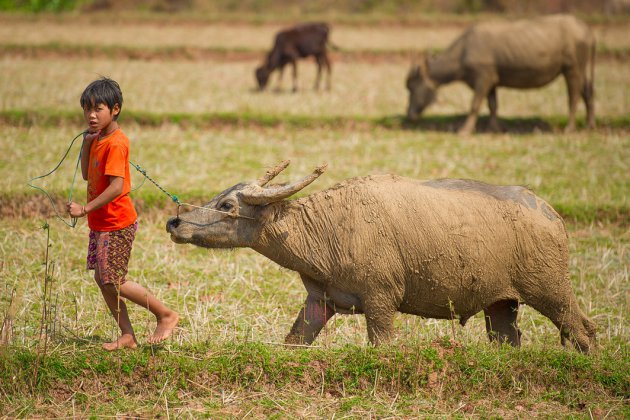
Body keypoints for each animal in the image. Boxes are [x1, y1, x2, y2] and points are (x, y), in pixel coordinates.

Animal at [167, 161, 596, 352]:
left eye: (226, 205)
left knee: (582, 328)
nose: (175, 222)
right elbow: (295, 339)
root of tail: (551, 215)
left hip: (550, 290)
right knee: (508, 339)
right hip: (501, 304)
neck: (329, 229)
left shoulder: (380, 301)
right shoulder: (319, 301)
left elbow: (382, 344)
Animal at [410, 14, 596, 135]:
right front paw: (494, 128)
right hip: (581, 70)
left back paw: (570, 128)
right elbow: (492, 105)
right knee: (587, 93)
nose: (409, 113)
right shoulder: (492, 81)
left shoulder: (483, 78)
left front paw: (465, 130)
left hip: (572, 68)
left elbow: (475, 105)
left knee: (574, 96)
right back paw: (589, 125)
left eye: (410, 88)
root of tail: (586, 29)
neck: (463, 53)